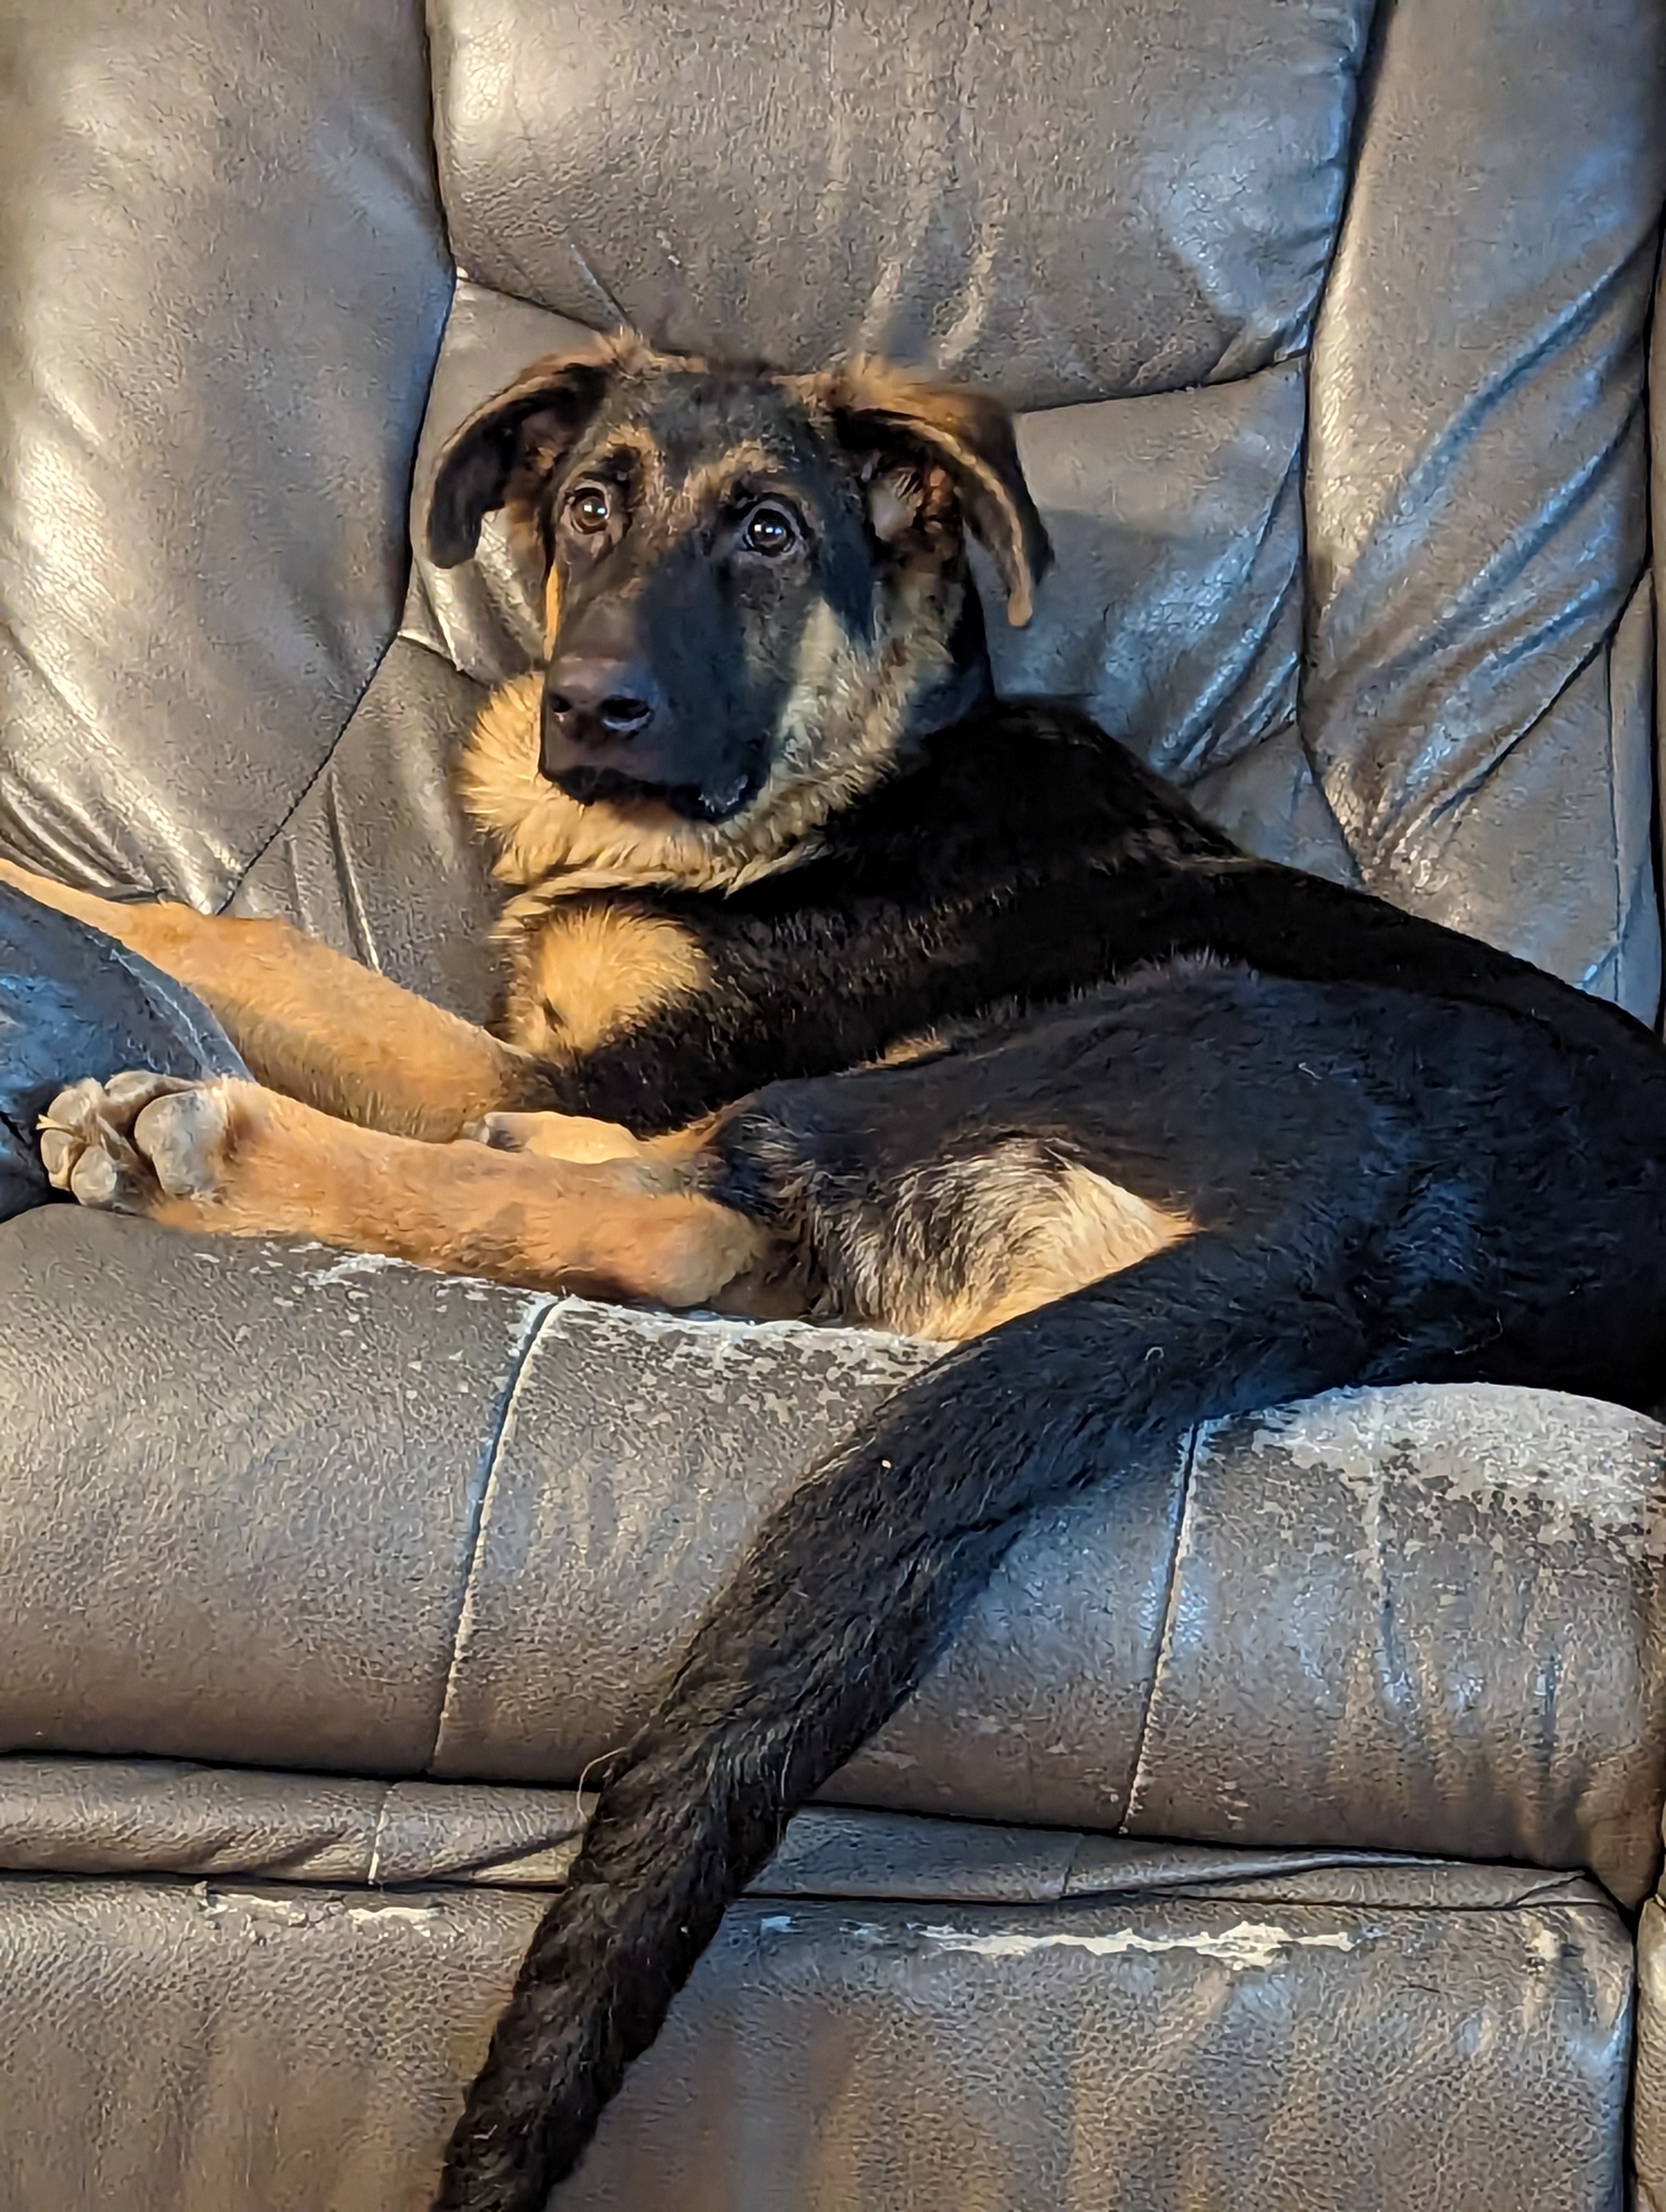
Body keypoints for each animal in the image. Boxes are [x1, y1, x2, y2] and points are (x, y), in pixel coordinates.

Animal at [5, 330, 1666, 2212]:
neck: (848, 774)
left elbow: (248, 941)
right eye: (593, 505)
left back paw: (200, 1137)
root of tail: (1363, 1241)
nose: (589, 710)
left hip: (1140, 1016)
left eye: (773, 533)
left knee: (699, 1211)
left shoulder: (590, 1058)